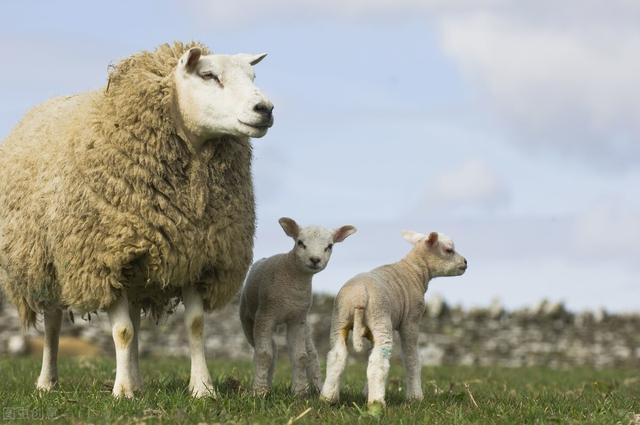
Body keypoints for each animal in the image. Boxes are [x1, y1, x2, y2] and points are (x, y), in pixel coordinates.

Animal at [0, 41, 272, 396]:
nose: (265, 108)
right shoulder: (105, 260)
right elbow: (122, 331)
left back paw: (138, 379)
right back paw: (48, 382)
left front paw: (203, 389)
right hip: (45, 264)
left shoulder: (196, 255)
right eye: (208, 75)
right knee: (53, 325)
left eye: (253, 76)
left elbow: (195, 326)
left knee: (136, 323)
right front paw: (123, 391)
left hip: (137, 273)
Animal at [240, 219, 358, 394]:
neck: (294, 280)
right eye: (300, 242)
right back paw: (267, 385)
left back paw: (318, 387)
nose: (315, 259)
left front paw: (300, 391)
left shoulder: (297, 319)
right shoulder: (265, 315)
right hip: (248, 319)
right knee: (268, 351)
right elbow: (264, 354)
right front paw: (259, 391)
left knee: (311, 353)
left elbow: (301, 356)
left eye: (329, 246)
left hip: (305, 324)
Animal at [318, 230, 464, 406]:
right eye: (449, 250)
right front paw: (415, 397)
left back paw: (328, 398)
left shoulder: (371, 333)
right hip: (380, 318)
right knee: (379, 362)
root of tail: (360, 296)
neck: (415, 271)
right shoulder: (411, 321)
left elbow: (369, 355)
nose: (465, 262)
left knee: (337, 356)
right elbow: (411, 358)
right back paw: (376, 402)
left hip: (340, 319)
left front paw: (366, 391)